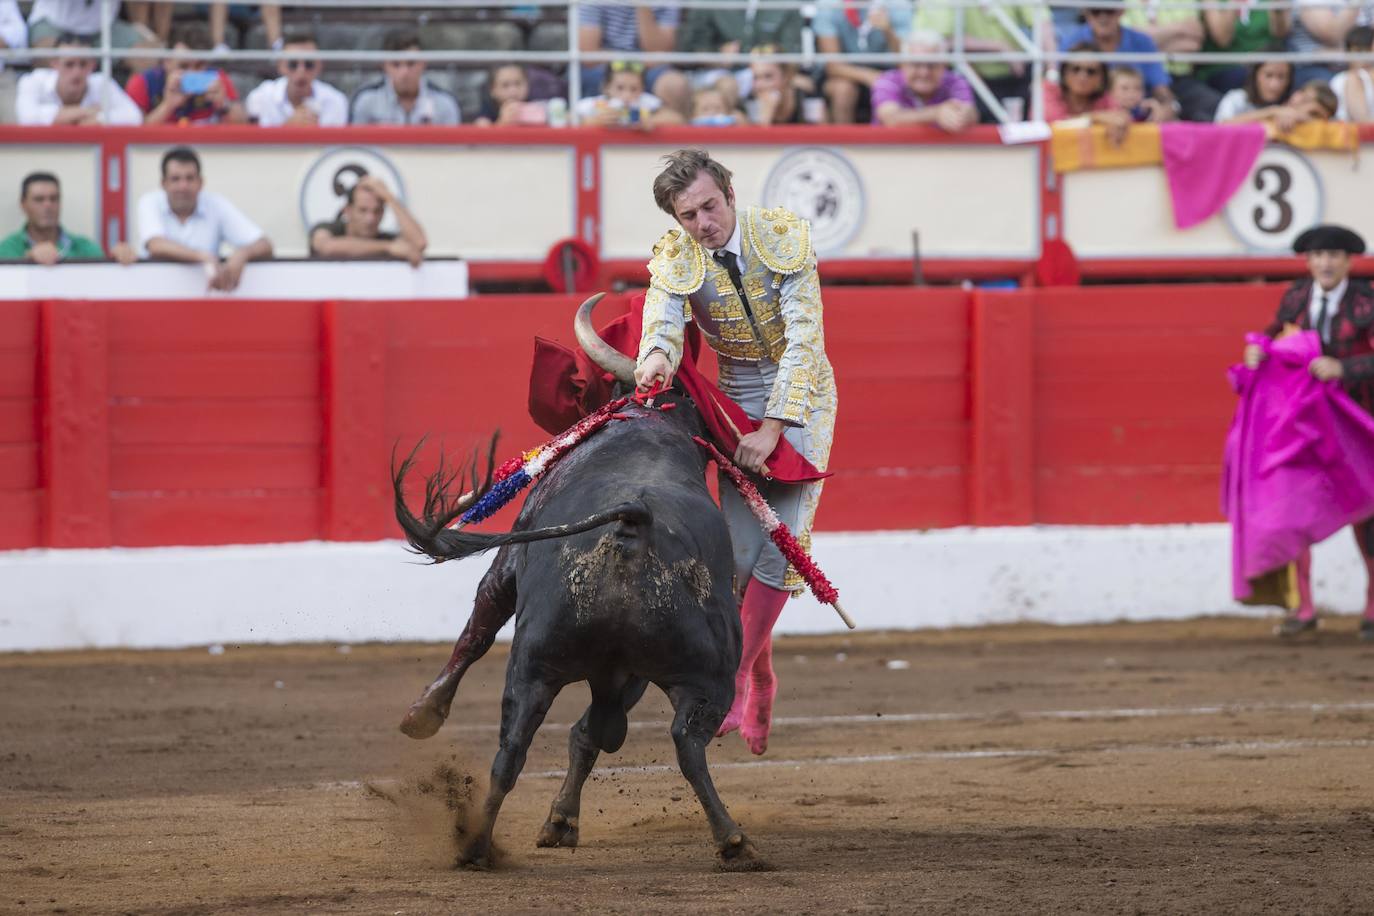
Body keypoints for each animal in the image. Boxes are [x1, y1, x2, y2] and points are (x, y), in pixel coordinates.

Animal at [392, 295, 769, 873]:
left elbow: (478, 630)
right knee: (660, 743)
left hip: (547, 663)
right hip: (679, 674)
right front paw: (561, 820)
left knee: (527, 747)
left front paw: (423, 714)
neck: (649, 424)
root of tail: (634, 518)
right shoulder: (624, 673)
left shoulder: (509, 560)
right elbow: (591, 734)